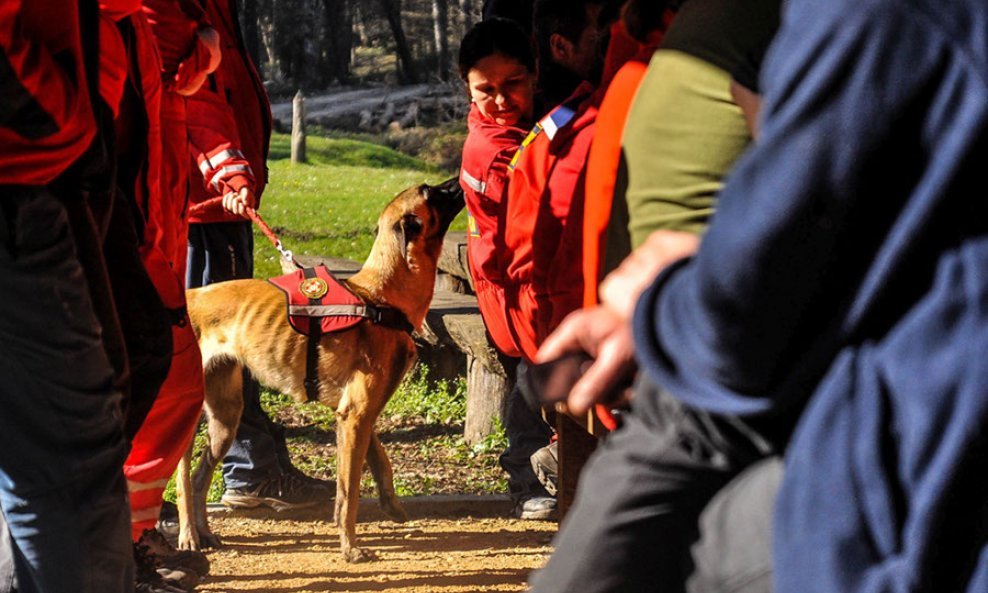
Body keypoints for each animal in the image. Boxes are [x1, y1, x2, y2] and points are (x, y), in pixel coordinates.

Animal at [175, 179, 466, 560]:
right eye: (430, 191)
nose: (459, 180)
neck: (378, 298)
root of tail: (189, 298)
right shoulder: (354, 416)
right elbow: (349, 493)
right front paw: (350, 547)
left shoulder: (357, 414)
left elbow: (381, 460)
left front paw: (390, 504)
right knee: (180, 479)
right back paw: (187, 536)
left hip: (226, 418)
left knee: (199, 477)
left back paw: (205, 532)